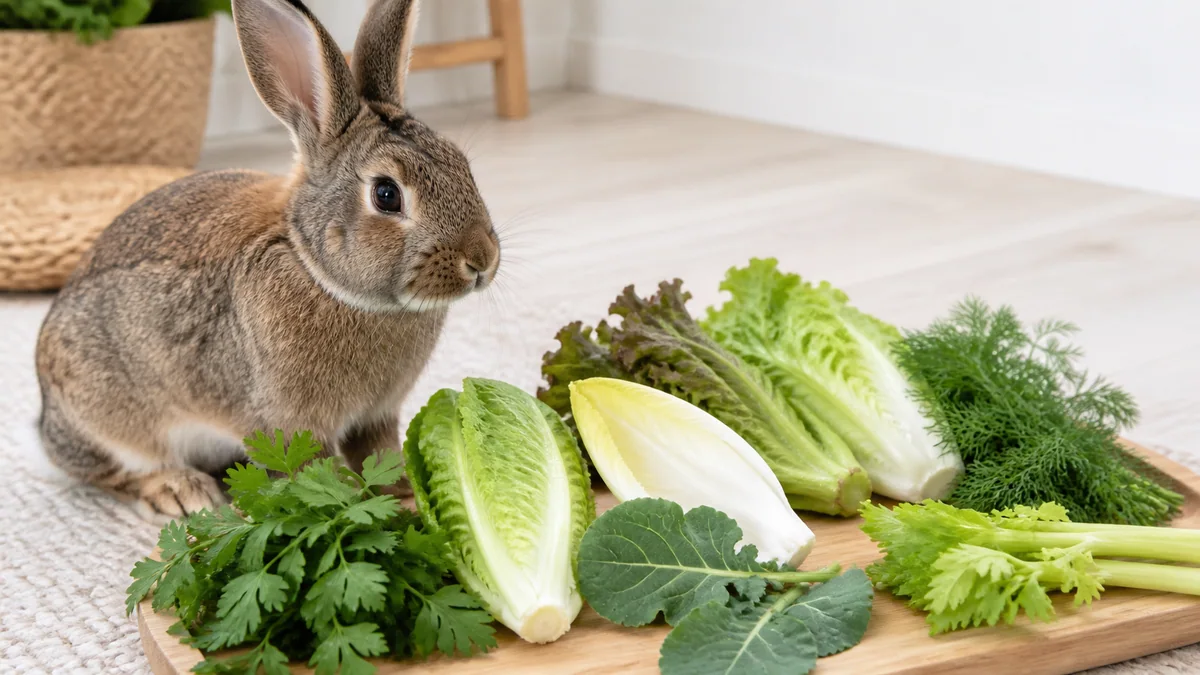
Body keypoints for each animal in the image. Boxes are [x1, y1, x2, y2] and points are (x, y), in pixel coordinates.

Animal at [34, 0, 500, 523]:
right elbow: (318, 471)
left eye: (462, 165)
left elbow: (380, 455)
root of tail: (46, 419)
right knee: (113, 470)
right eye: (386, 195)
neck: (315, 268)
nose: (481, 260)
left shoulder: (377, 416)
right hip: (111, 417)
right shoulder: (290, 423)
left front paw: (405, 499)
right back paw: (181, 491)